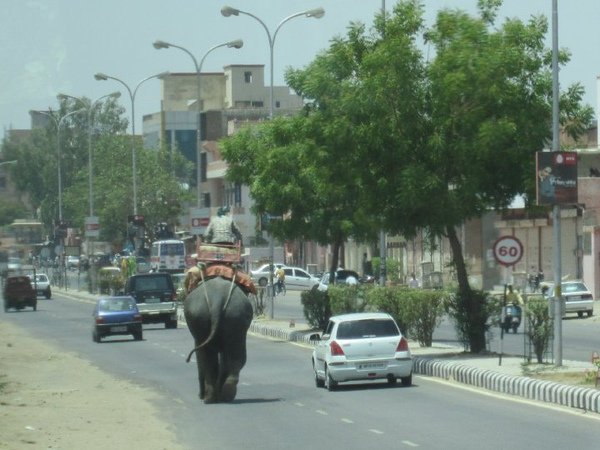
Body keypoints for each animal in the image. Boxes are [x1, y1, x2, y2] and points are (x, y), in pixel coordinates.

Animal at [183, 274, 253, 404]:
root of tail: (217, 299)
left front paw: (201, 395)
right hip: (235, 316)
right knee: (237, 355)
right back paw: (225, 394)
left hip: (201, 316)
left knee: (206, 355)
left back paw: (208, 398)